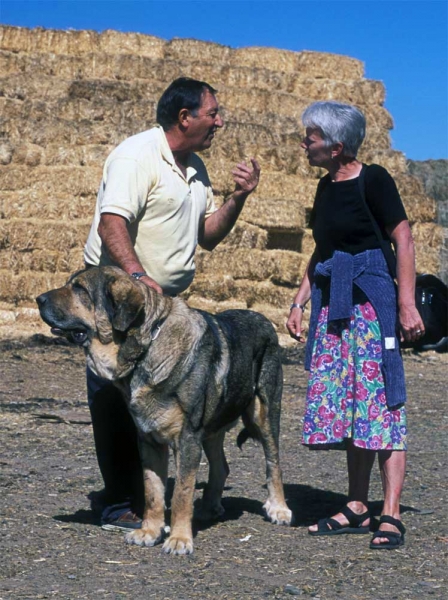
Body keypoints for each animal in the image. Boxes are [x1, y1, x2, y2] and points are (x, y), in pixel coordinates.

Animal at [36, 266, 292, 552]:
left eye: (80, 288)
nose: (38, 299)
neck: (146, 348)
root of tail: (264, 320)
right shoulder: (149, 440)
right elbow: (152, 491)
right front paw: (149, 531)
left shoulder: (187, 439)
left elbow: (181, 492)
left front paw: (179, 539)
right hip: (212, 430)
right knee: (221, 467)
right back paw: (208, 508)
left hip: (264, 414)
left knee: (273, 463)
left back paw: (279, 509)